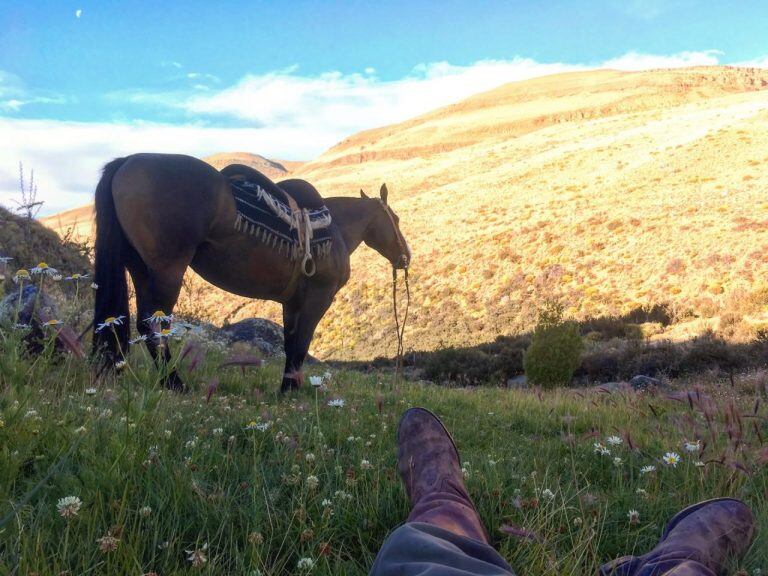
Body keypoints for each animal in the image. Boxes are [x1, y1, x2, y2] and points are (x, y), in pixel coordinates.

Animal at [92, 153, 412, 392]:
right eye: (395, 218)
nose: (405, 257)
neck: (335, 230)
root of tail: (127, 162)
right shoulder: (319, 296)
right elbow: (302, 343)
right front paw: (291, 390)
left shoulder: (292, 302)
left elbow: (291, 344)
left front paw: (287, 387)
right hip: (167, 270)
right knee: (153, 325)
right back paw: (174, 383)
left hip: (140, 268)